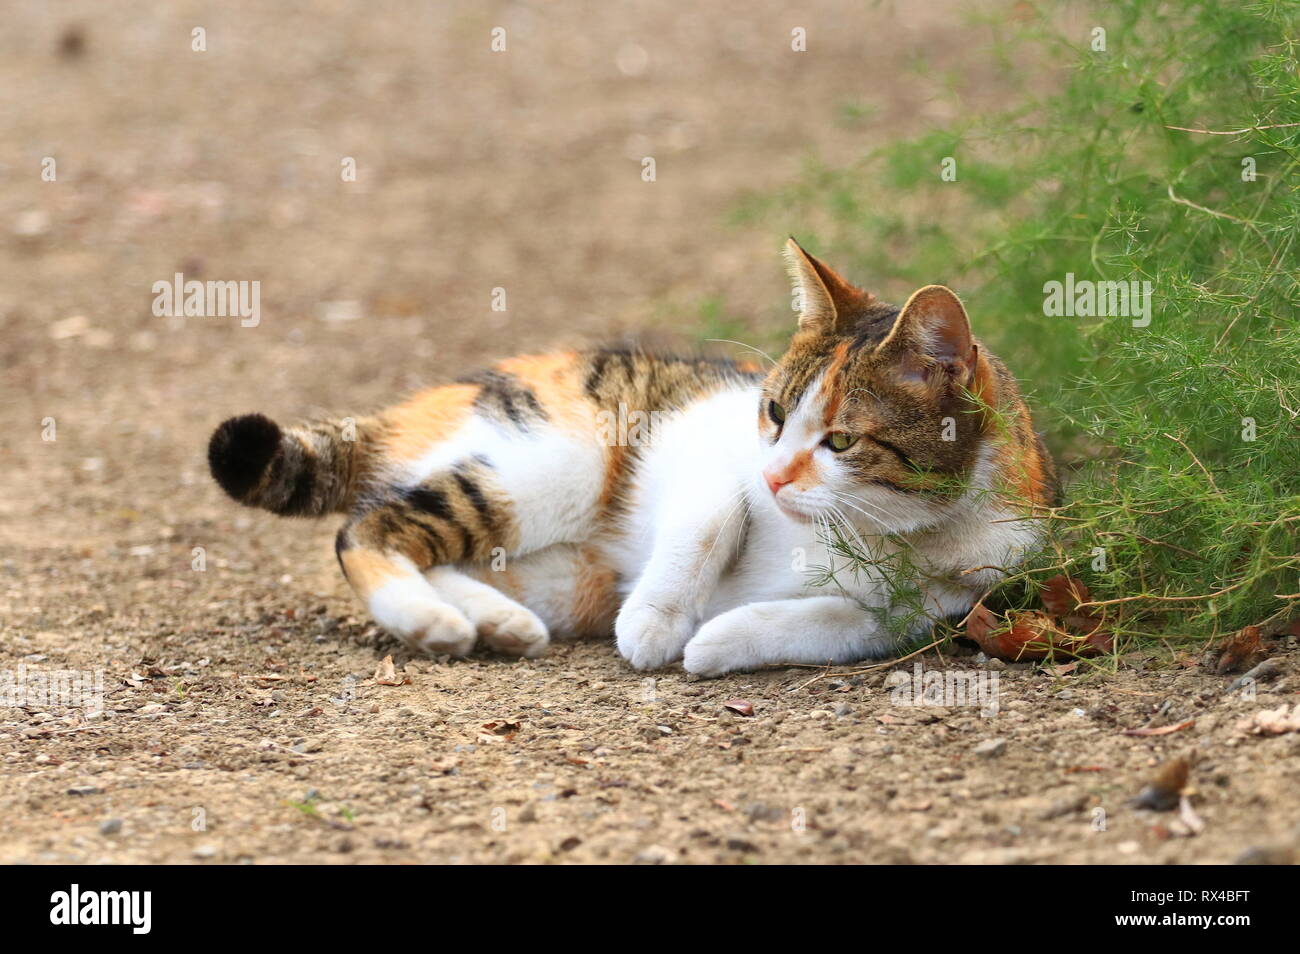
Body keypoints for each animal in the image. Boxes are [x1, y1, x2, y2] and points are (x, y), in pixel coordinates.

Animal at [205, 239, 1055, 675]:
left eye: (842, 440)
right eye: (775, 414)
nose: (776, 474)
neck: (873, 530)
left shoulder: (933, 605)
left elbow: (837, 623)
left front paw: (718, 643)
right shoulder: (704, 445)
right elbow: (708, 522)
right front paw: (657, 623)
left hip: (568, 577)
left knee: (436, 552)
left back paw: (493, 622)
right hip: (552, 468)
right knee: (365, 530)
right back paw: (432, 622)